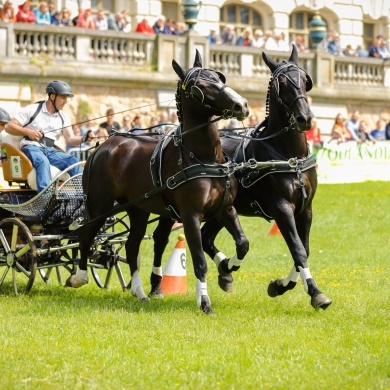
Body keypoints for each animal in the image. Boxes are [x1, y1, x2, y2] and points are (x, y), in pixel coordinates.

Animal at [66, 50, 250, 316]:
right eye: (199, 86)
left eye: (219, 77)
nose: (241, 105)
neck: (202, 156)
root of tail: (103, 144)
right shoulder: (191, 216)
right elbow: (200, 261)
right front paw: (205, 302)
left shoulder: (225, 209)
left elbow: (243, 244)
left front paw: (227, 268)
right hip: (100, 205)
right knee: (87, 234)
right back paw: (79, 276)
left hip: (137, 209)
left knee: (132, 246)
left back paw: (140, 291)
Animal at [201, 44, 332, 310]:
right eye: (282, 83)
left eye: (304, 80)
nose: (305, 118)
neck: (288, 155)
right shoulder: (281, 207)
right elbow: (297, 249)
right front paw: (314, 292)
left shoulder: (306, 208)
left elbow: (303, 250)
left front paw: (280, 285)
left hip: (224, 209)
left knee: (205, 237)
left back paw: (225, 270)